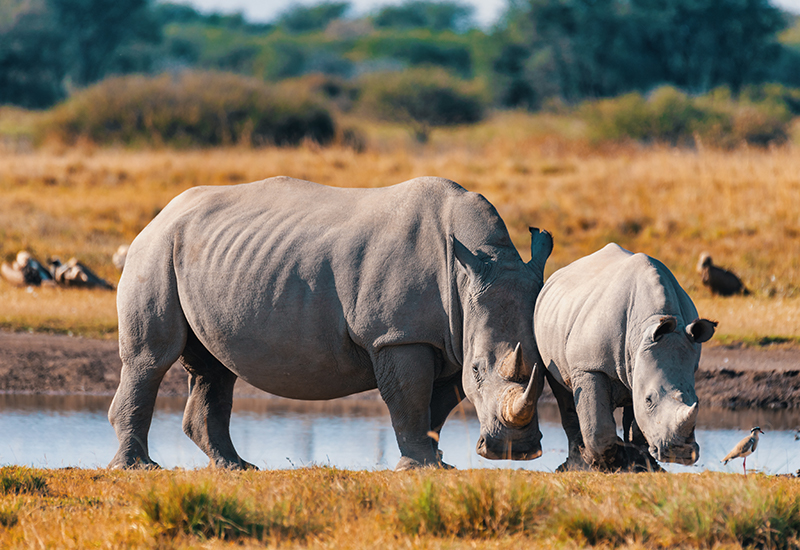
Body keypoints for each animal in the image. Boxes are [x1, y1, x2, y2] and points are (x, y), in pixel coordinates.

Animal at [109, 177, 552, 470]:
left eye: (545, 372)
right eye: (478, 370)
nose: (515, 451)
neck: (475, 265)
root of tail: (163, 213)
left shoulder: (446, 339)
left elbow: (437, 407)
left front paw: (437, 465)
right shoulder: (397, 335)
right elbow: (410, 400)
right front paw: (420, 468)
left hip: (202, 254)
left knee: (214, 369)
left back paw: (236, 467)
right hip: (155, 249)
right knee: (151, 359)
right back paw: (138, 468)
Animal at [536, 244, 716, 472]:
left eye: (697, 400)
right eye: (649, 399)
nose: (681, 454)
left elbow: (638, 422)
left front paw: (640, 465)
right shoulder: (589, 367)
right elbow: (597, 425)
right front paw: (602, 464)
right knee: (562, 391)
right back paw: (574, 464)